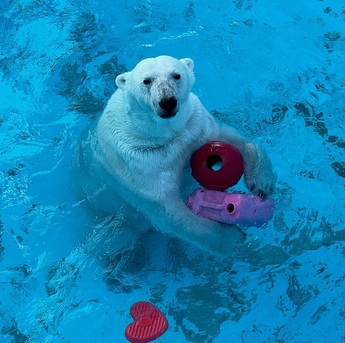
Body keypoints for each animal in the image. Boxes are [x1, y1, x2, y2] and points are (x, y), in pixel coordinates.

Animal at [74, 55, 274, 256]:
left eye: (176, 75)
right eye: (146, 81)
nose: (167, 101)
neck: (163, 134)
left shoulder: (193, 126)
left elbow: (232, 138)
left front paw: (262, 184)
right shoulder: (139, 162)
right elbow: (169, 212)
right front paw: (230, 238)